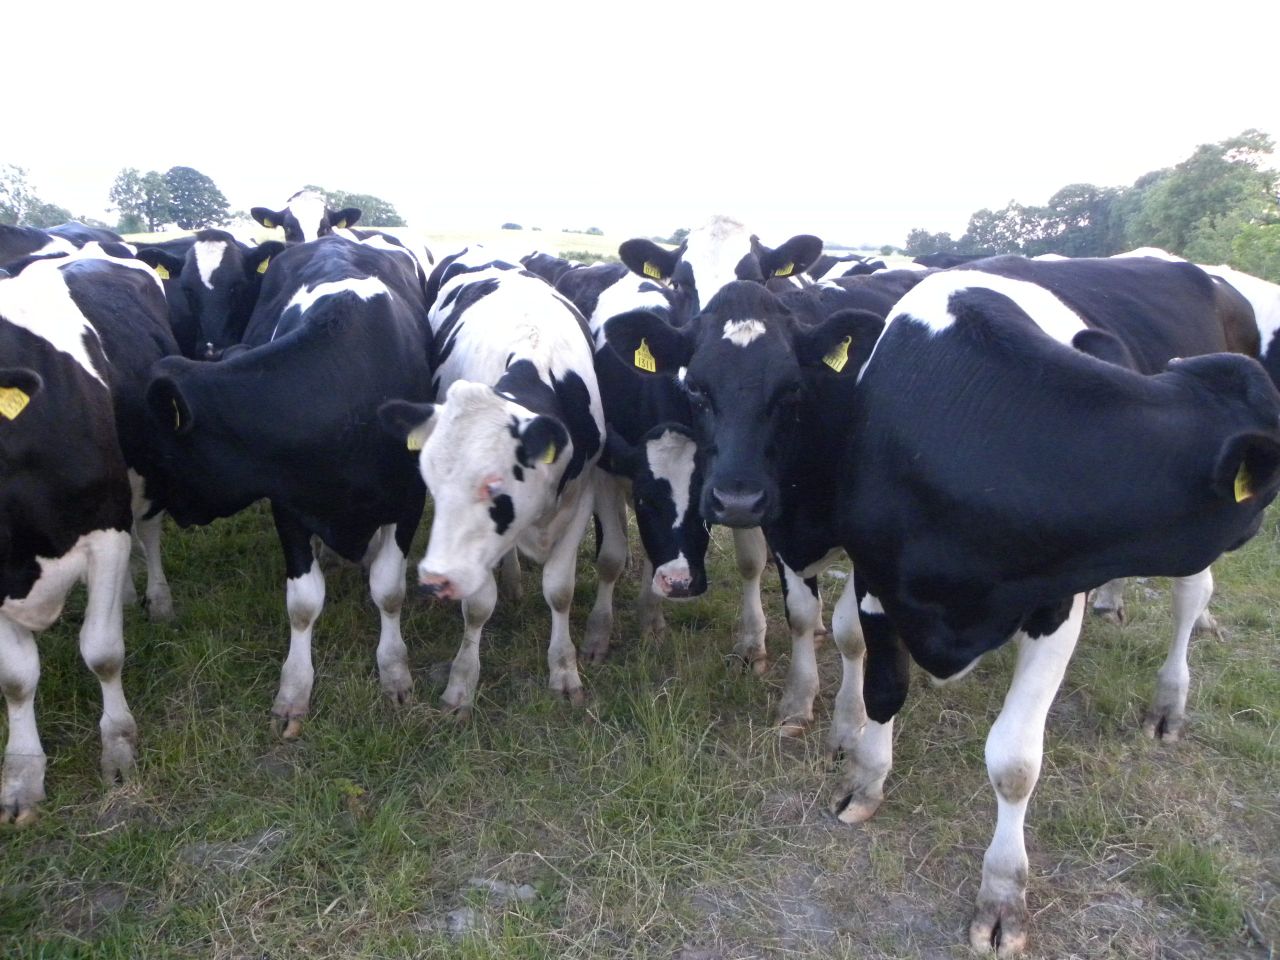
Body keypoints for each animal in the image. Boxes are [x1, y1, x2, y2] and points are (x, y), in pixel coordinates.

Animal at [144, 234, 433, 737]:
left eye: (162, 454)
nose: (171, 510)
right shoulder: (289, 504)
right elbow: (303, 602)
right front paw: (294, 691)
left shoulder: (408, 501)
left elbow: (389, 589)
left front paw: (395, 671)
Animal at [379, 249, 603, 718]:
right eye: (431, 484)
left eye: (495, 486)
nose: (435, 578)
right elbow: (479, 606)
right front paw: (461, 683)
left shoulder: (582, 495)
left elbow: (560, 590)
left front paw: (564, 671)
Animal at [603, 259, 1280, 956]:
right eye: (695, 388)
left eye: (791, 390)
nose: (737, 499)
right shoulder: (867, 570)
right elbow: (868, 671)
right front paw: (859, 769)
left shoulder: (1055, 600)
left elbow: (1014, 760)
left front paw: (1003, 894)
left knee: (1190, 597)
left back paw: (1169, 703)